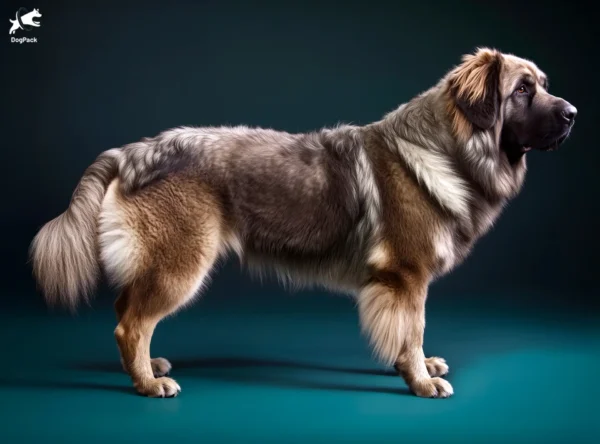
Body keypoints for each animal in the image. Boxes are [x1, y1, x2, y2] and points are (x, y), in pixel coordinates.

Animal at [30, 48, 576, 398]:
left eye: (544, 86)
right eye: (522, 90)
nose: (573, 113)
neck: (449, 148)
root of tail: (134, 152)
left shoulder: (403, 283)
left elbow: (409, 332)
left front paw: (416, 367)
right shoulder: (405, 276)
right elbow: (413, 330)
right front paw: (420, 381)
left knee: (126, 309)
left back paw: (144, 367)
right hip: (181, 263)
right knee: (131, 324)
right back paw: (147, 382)